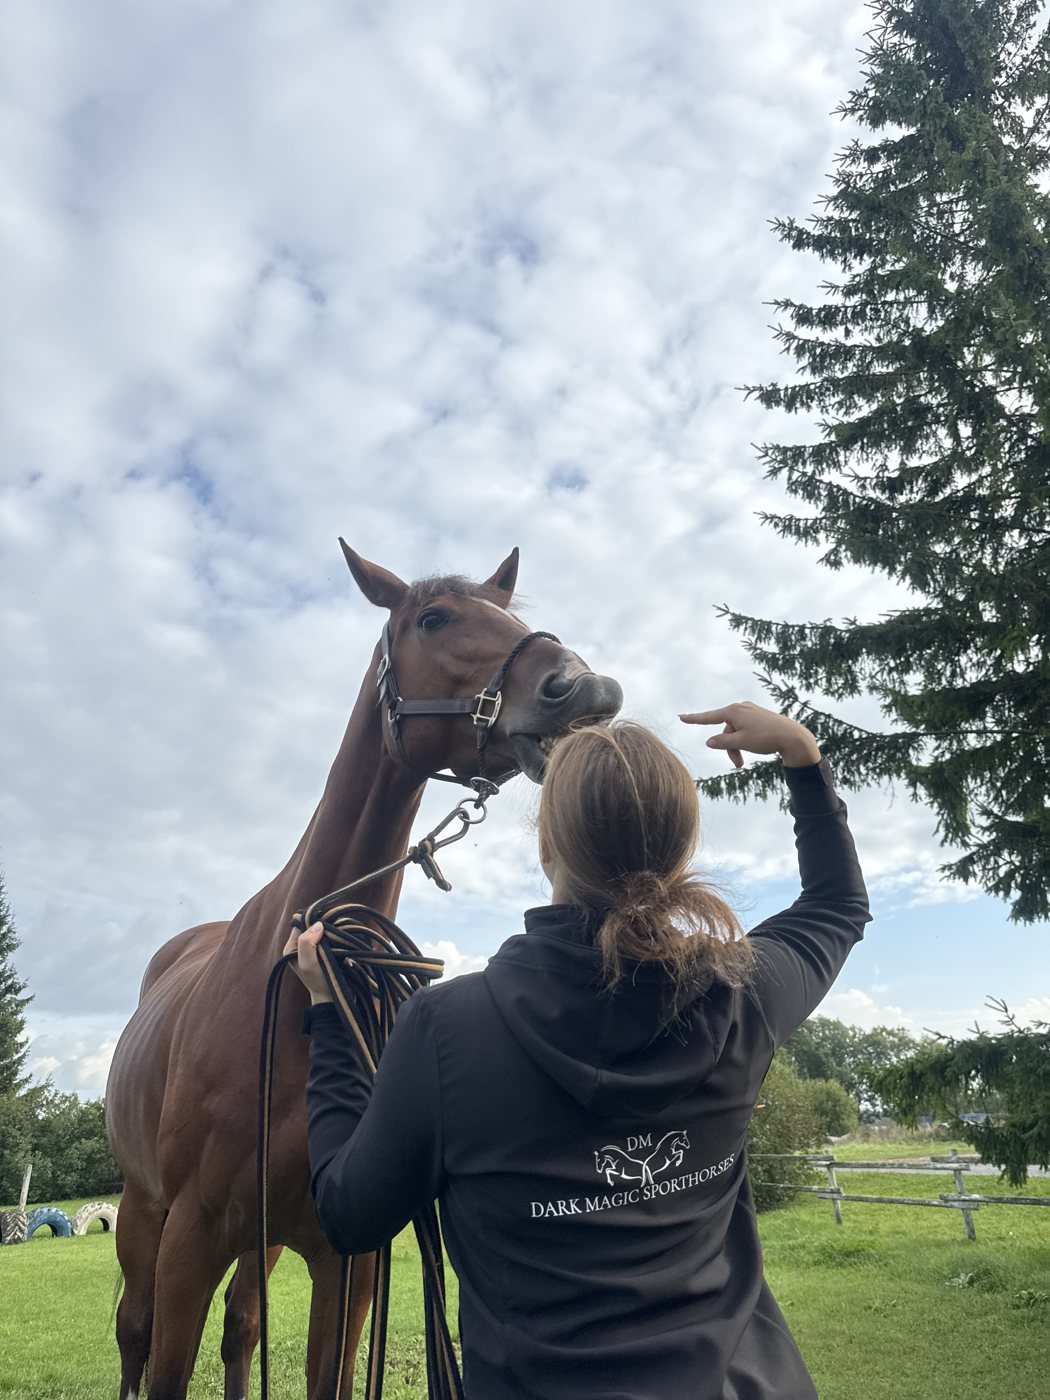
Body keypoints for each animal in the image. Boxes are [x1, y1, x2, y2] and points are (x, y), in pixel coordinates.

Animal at [105, 541, 623, 1400]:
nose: (583, 687)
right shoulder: (187, 1244)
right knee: (134, 1337)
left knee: (242, 1328)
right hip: (142, 1216)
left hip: (257, 1242)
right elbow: (164, 1364)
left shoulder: (344, 1255)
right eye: (434, 618)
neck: (286, 993)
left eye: (508, 612)